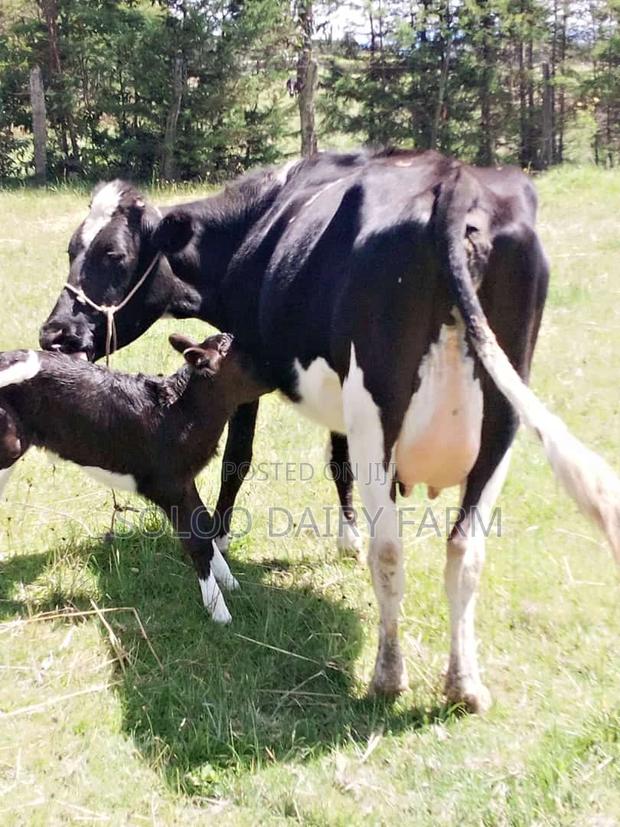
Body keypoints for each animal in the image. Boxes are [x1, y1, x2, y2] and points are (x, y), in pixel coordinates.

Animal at [39, 149, 620, 711]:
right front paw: (345, 537)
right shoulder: (340, 389)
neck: (253, 222)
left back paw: (389, 678)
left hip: (381, 408)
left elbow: (237, 459)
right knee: (465, 550)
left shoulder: (253, 365)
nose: (54, 334)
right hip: (501, 416)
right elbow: (337, 462)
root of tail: (456, 182)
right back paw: (465, 686)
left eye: (113, 254)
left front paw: (222, 540)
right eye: (69, 249)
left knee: (392, 549)